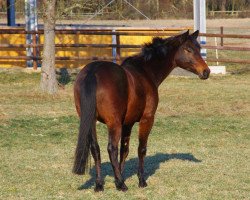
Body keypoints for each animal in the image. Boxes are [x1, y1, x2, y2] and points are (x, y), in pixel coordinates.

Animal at [73, 29, 210, 191]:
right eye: (188, 49)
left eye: (199, 49)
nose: (206, 71)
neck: (145, 72)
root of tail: (93, 72)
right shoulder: (147, 119)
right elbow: (141, 149)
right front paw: (140, 180)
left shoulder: (128, 123)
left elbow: (124, 150)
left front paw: (120, 175)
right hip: (113, 123)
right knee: (111, 148)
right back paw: (121, 185)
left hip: (91, 121)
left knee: (96, 148)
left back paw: (100, 184)